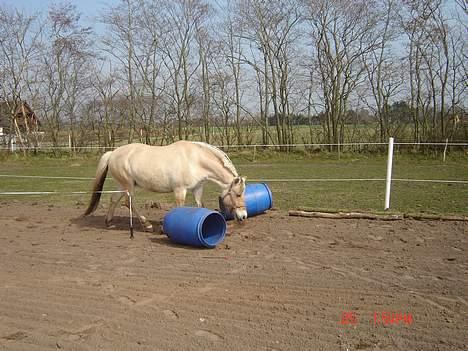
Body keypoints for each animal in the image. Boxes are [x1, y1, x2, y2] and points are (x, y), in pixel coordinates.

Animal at [83, 140, 249, 234]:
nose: (243, 216)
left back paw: (109, 222)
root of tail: (112, 153)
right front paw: (165, 229)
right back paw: (147, 225)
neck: (195, 160)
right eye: (238, 194)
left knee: (114, 199)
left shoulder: (197, 189)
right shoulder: (180, 190)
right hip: (129, 185)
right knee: (127, 202)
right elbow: (180, 208)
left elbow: (200, 206)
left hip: (122, 185)